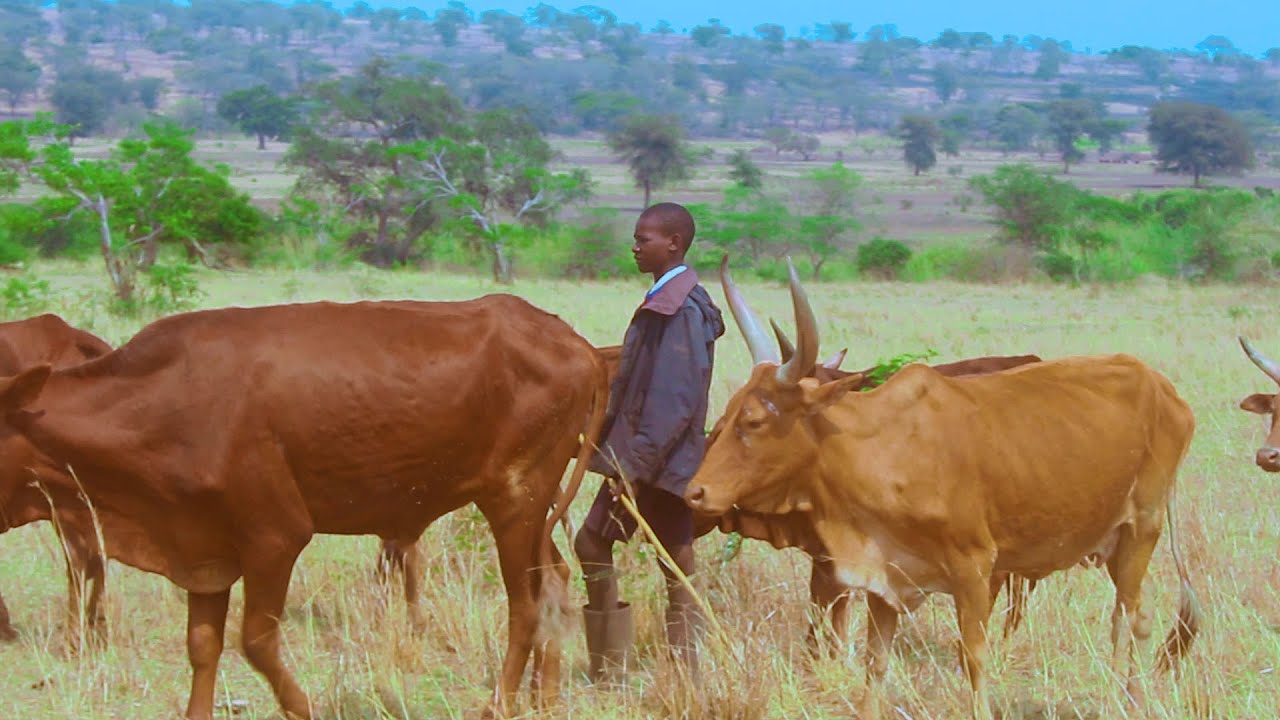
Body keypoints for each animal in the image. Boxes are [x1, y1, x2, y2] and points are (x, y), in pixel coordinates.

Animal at [691, 260, 1198, 717]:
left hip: (1142, 530)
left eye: (755, 421)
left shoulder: (975, 570)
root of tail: (1162, 387)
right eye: (728, 412)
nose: (695, 493)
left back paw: (1126, 702)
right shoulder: (884, 579)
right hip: (1115, 543)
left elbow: (972, 657)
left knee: (1129, 620)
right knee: (1134, 618)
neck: (882, 448)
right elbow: (876, 662)